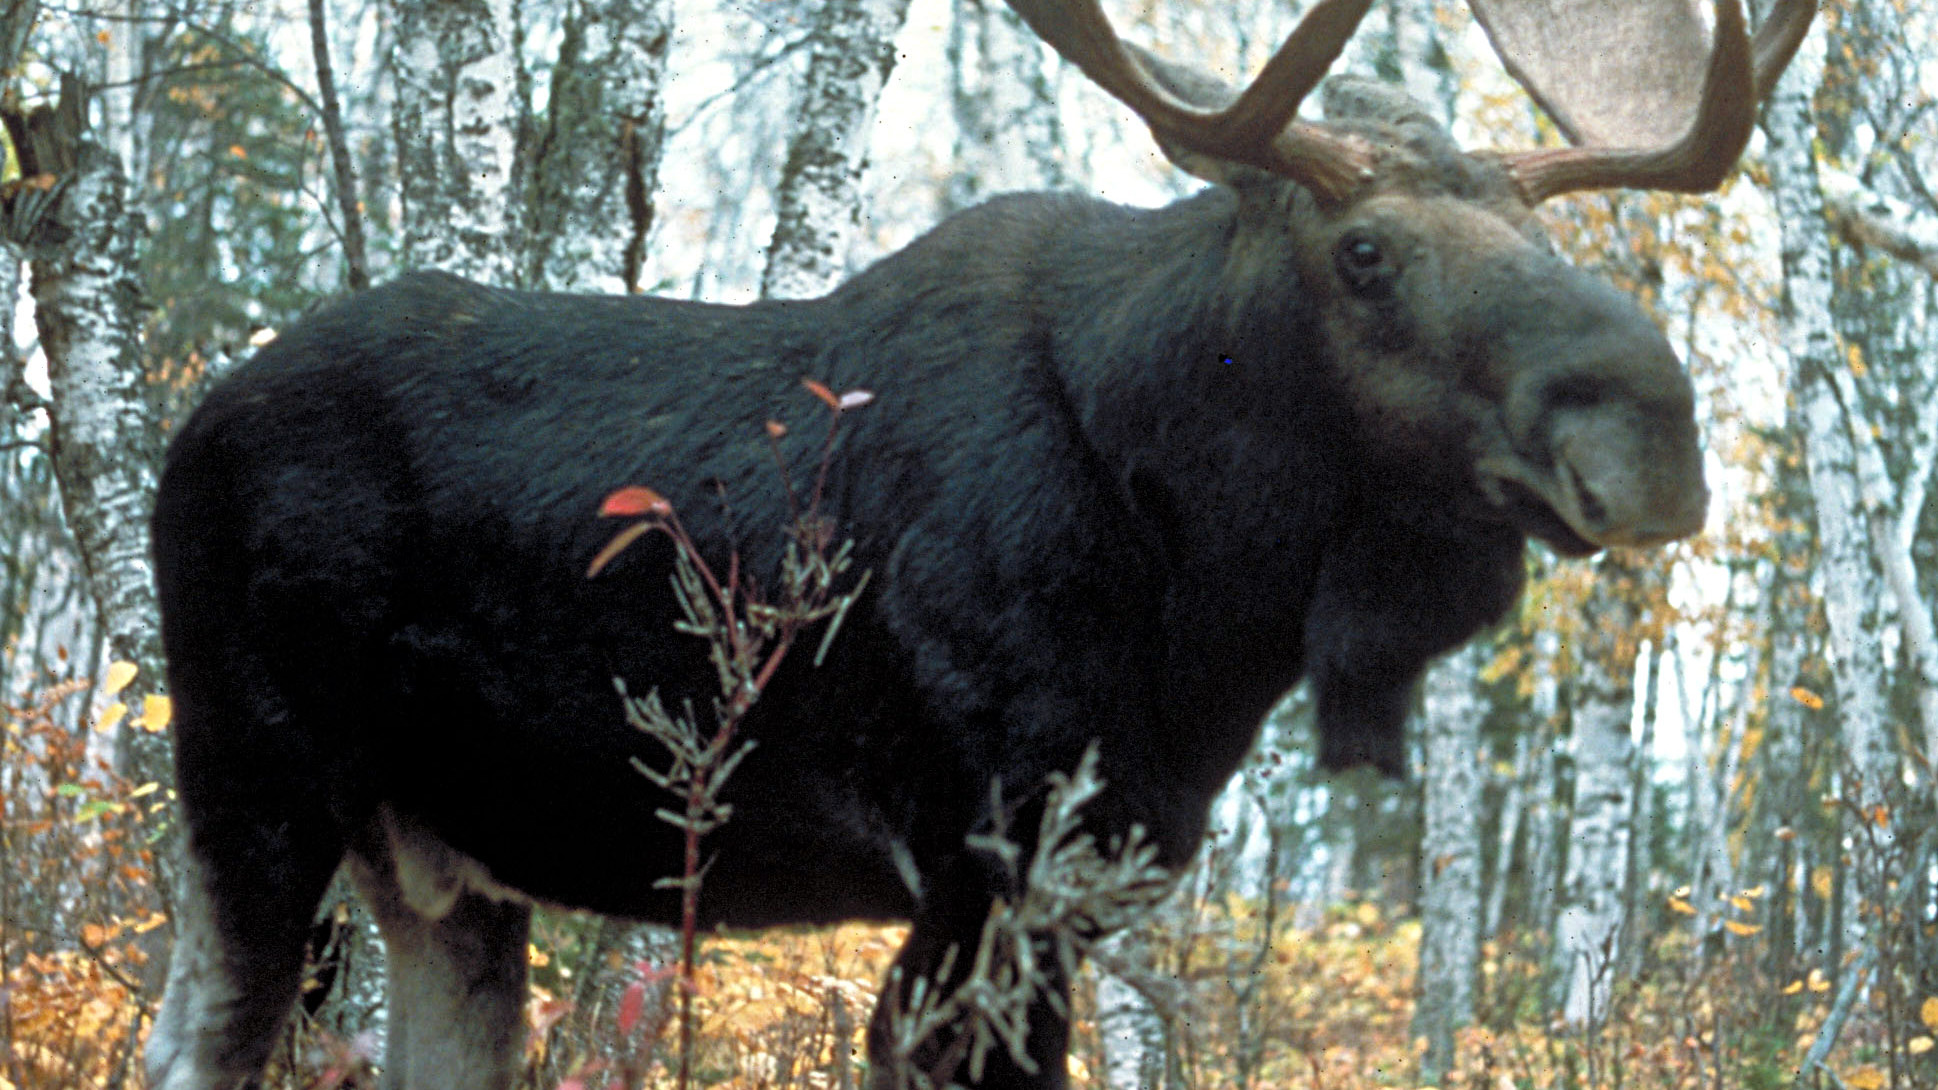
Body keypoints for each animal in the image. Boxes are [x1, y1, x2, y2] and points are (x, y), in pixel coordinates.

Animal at [144, 0, 1813, 1086]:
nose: (1653, 425)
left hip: (445, 868)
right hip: (254, 781)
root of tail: (192, 422)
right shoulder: (978, 856)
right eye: (1363, 251)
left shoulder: (1095, 866)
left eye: (1545, 239)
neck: (1211, 595)